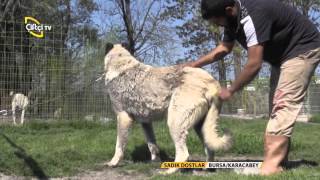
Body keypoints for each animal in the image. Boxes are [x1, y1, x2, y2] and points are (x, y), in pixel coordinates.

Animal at [105, 43, 232, 173]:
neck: (121, 64)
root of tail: (211, 81)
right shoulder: (146, 122)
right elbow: (152, 144)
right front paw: (155, 160)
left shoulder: (123, 117)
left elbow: (119, 145)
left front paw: (113, 162)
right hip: (201, 126)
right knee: (209, 148)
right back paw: (207, 168)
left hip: (175, 123)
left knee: (184, 154)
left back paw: (169, 172)